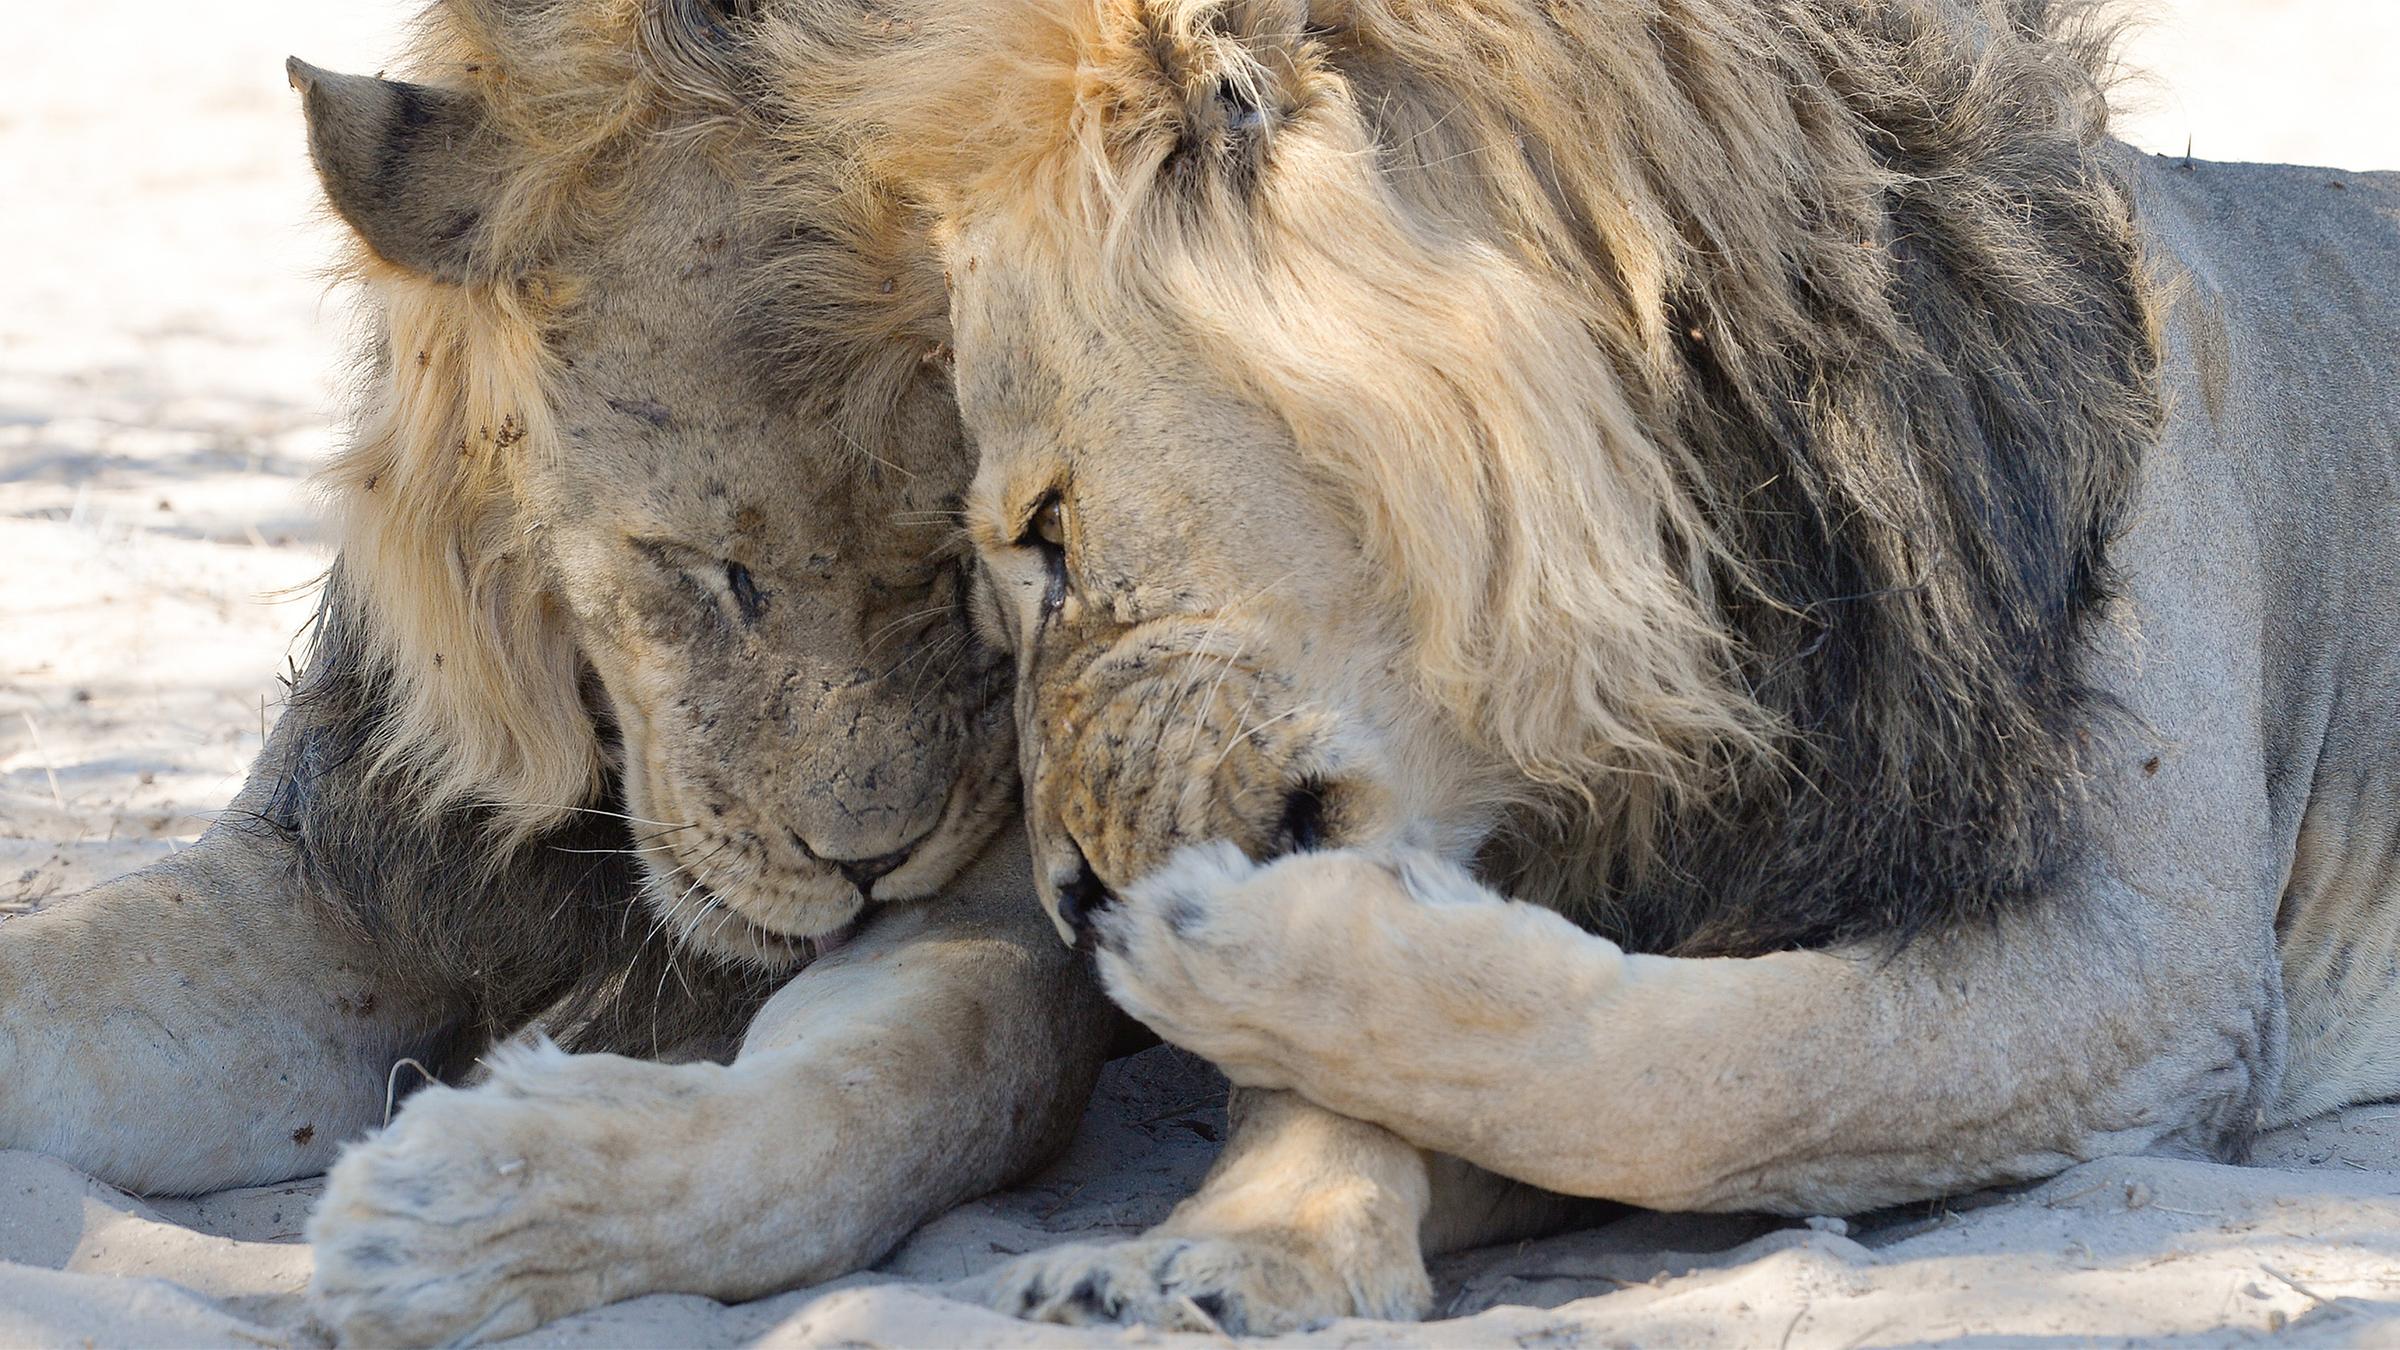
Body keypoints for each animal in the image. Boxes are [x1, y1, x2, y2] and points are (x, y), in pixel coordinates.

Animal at [0, 2, 1112, 1344]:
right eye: (702, 567)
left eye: (968, 567)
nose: (868, 862)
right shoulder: (339, 868)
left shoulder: (993, 909)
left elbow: (917, 1079)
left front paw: (469, 1212)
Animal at [778, 0, 2400, 1333]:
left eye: (1046, 532)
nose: (1064, 901)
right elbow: (1412, 1086)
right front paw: (1236, 1246)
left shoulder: (2167, 976)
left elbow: (1717, 1071)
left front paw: (1230, 956)